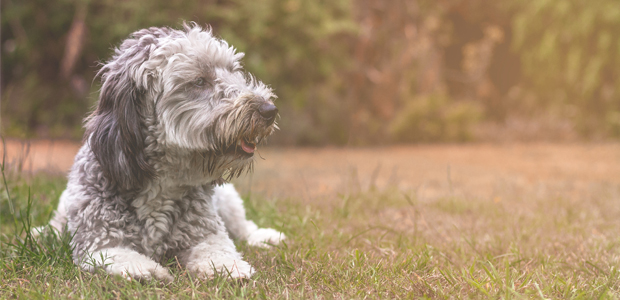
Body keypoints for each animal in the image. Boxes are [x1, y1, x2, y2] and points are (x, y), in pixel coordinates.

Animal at [41, 23, 286, 282]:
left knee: (243, 227)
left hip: (228, 200)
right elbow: (123, 256)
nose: (269, 110)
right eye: (199, 81)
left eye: (232, 71)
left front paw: (230, 266)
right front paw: (148, 269)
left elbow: (219, 249)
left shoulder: (206, 233)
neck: (162, 183)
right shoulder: (98, 244)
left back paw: (265, 236)